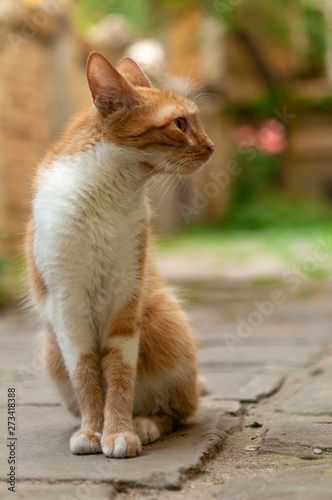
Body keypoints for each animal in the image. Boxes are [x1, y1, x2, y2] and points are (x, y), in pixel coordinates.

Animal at [24, 51, 214, 458]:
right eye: (180, 123)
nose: (211, 147)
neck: (106, 196)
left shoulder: (126, 302)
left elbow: (120, 377)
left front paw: (119, 432)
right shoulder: (67, 310)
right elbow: (86, 376)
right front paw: (92, 431)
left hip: (164, 322)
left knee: (180, 410)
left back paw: (145, 423)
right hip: (50, 348)